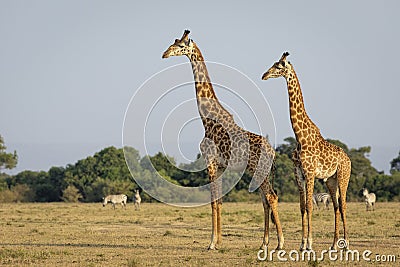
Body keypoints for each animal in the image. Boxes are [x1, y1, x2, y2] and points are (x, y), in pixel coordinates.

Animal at [161, 30, 282, 251]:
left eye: (181, 45)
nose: (164, 54)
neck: (207, 119)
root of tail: (273, 152)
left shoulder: (209, 161)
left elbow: (212, 201)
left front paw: (211, 243)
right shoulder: (220, 166)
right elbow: (219, 201)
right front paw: (218, 241)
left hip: (259, 169)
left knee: (271, 197)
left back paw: (280, 243)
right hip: (261, 172)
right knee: (265, 200)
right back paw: (264, 243)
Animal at [262, 52, 350, 251]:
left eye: (279, 65)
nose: (264, 75)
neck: (300, 136)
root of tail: (349, 159)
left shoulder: (310, 173)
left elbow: (310, 206)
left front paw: (309, 243)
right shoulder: (299, 174)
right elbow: (302, 207)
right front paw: (302, 244)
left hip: (343, 177)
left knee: (343, 206)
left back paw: (346, 244)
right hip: (330, 181)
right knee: (336, 206)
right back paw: (334, 245)